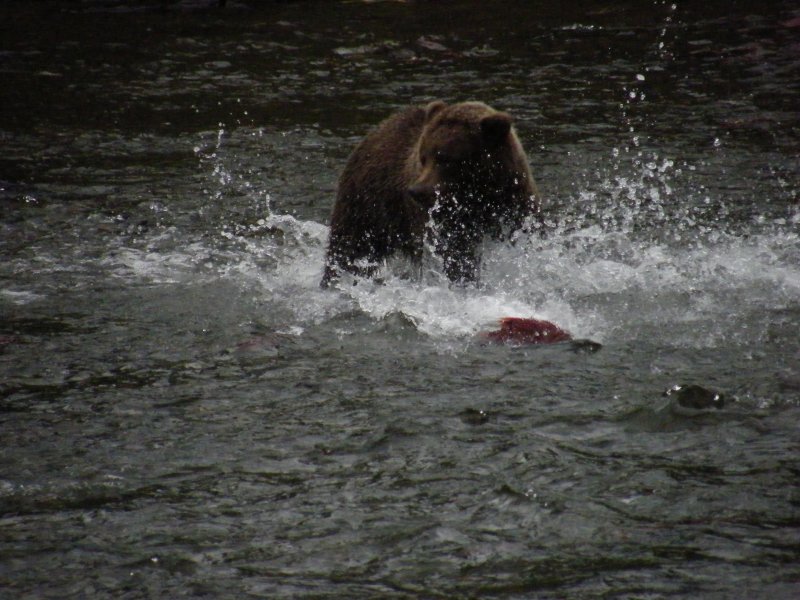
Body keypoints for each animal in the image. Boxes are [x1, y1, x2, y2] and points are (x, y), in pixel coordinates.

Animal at [322, 101, 540, 288]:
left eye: (446, 159)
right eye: (424, 157)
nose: (417, 191)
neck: (477, 198)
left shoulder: (515, 204)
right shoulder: (440, 221)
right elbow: (455, 255)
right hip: (369, 206)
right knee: (349, 249)